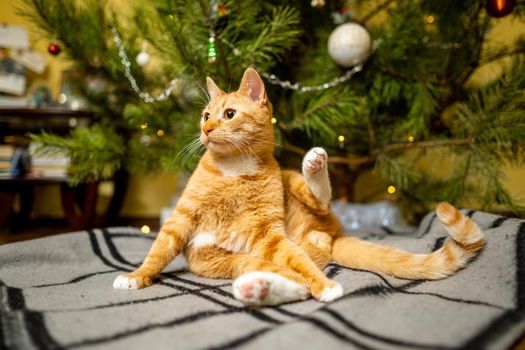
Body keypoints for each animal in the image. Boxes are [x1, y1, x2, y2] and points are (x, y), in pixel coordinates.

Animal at [112, 68, 486, 306]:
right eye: (205, 116)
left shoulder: (268, 232)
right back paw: (259, 290)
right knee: (287, 277)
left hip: (290, 186)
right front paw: (137, 275)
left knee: (317, 213)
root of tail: (330, 239)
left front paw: (326, 286)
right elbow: (158, 251)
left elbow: (304, 268)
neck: (233, 170)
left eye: (229, 114)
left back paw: (314, 165)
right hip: (231, 262)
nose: (205, 130)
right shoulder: (182, 218)